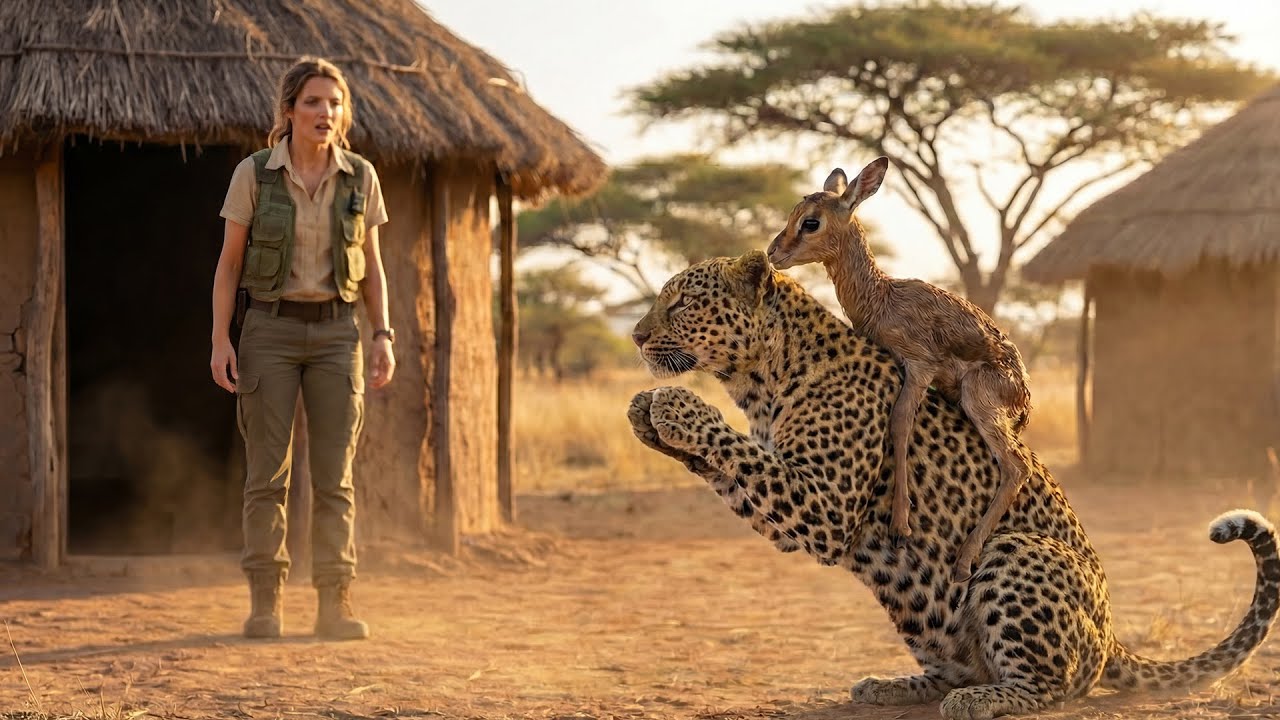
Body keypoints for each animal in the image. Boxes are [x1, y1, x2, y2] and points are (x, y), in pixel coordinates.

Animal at [626, 250, 1280, 720]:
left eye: (682, 301)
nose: (634, 336)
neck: (759, 380)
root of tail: (1114, 634)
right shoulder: (792, 500)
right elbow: (732, 462)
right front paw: (643, 413)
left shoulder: (825, 504)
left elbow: (736, 447)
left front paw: (672, 405)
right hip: (920, 607)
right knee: (960, 663)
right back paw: (892, 685)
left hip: (1015, 551)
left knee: (1058, 684)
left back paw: (981, 701)